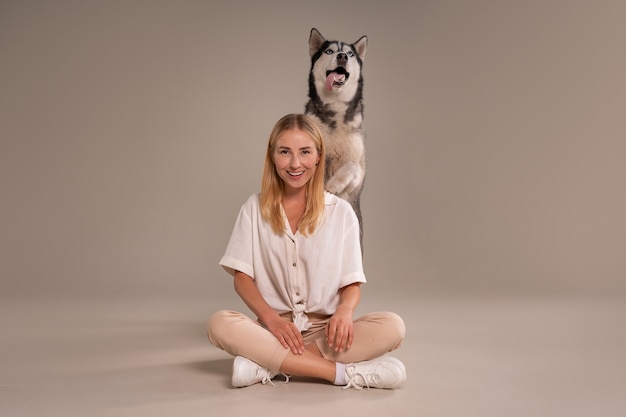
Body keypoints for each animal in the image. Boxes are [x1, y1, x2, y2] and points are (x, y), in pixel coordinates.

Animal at [304, 29, 366, 240]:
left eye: (350, 54)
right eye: (329, 51)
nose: (342, 56)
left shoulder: (359, 174)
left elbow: (353, 165)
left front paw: (335, 184)